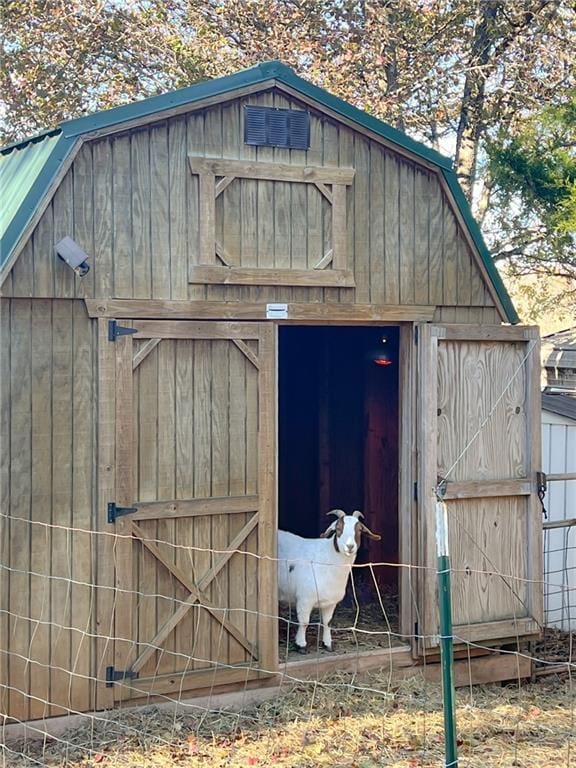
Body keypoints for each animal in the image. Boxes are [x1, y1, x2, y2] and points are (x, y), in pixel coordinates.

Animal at [276, 510, 380, 656]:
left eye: (359, 530)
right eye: (338, 529)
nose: (350, 546)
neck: (328, 559)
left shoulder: (331, 602)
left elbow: (327, 622)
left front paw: (328, 643)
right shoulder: (304, 599)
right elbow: (304, 622)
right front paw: (301, 645)